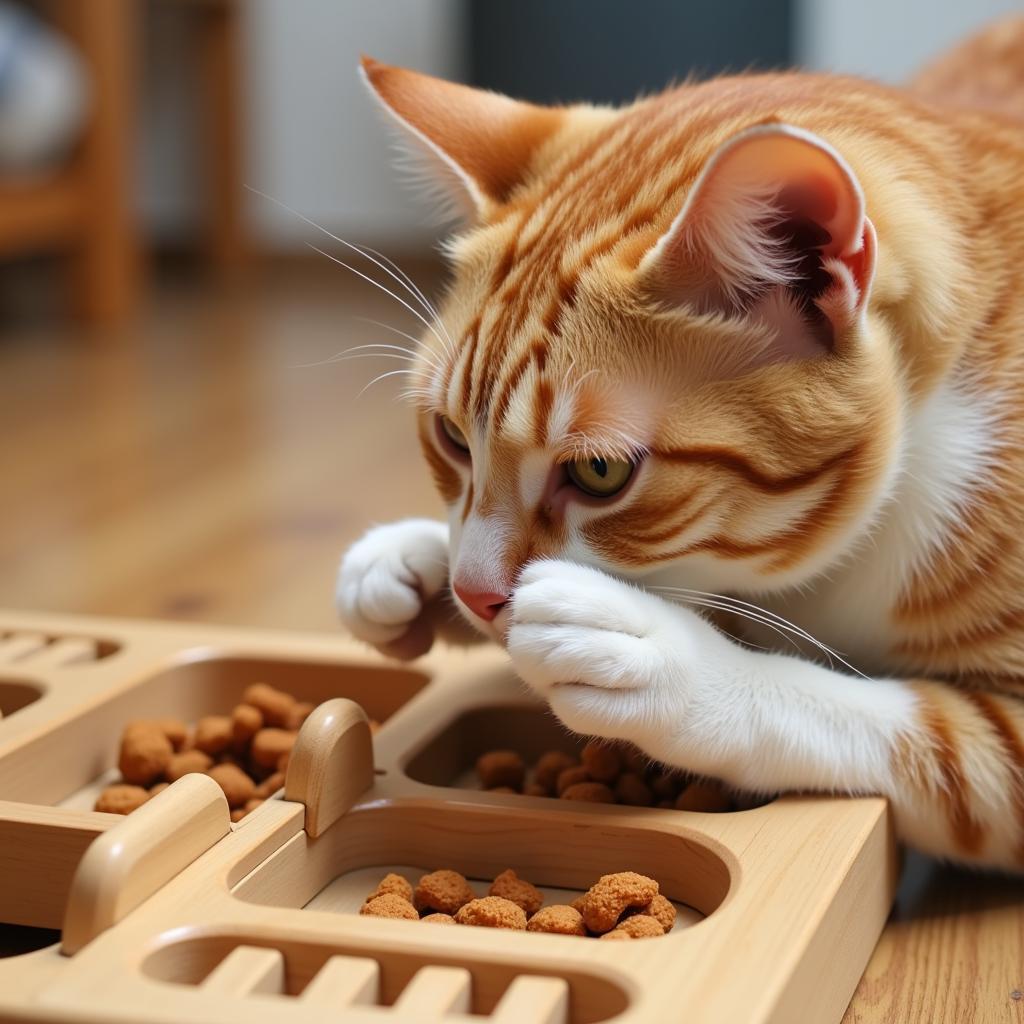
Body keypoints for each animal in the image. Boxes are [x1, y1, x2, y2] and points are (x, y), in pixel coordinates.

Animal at [339, 24, 1024, 868]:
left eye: (599, 472)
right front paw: (410, 558)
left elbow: (876, 718)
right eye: (450, 438)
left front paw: (667, 658)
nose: (475, 595)